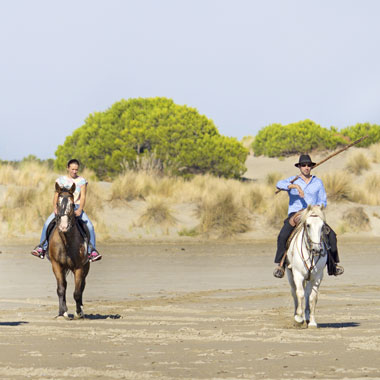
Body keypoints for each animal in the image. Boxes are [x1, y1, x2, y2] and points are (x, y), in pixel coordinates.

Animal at [49, 183, 90, 320]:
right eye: (57, 203)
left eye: (72, 205)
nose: (63, 226)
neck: (66, 242)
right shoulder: (56, 265)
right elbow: (61, 289)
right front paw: (63, 313)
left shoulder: (79, 267)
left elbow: (77, 292)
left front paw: (78, 313)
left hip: (86, 267)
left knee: (82, 286)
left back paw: (81, 309)